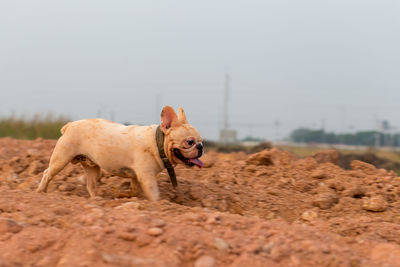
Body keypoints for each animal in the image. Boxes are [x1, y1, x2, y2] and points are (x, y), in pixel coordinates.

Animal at [36, 106, 203, 201]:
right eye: (189, 142)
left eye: (201, 141)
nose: (200, 147)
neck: (157, 142)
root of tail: (69, 125)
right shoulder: (147, 177)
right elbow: (153, 194)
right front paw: (158, 205)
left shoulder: (137, 177)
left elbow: (135, 190)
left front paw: (123, 195)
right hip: (61, 158)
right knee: (47, 173)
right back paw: (40, 192)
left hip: (93, 168)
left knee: (91, 185)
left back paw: (96, 200)